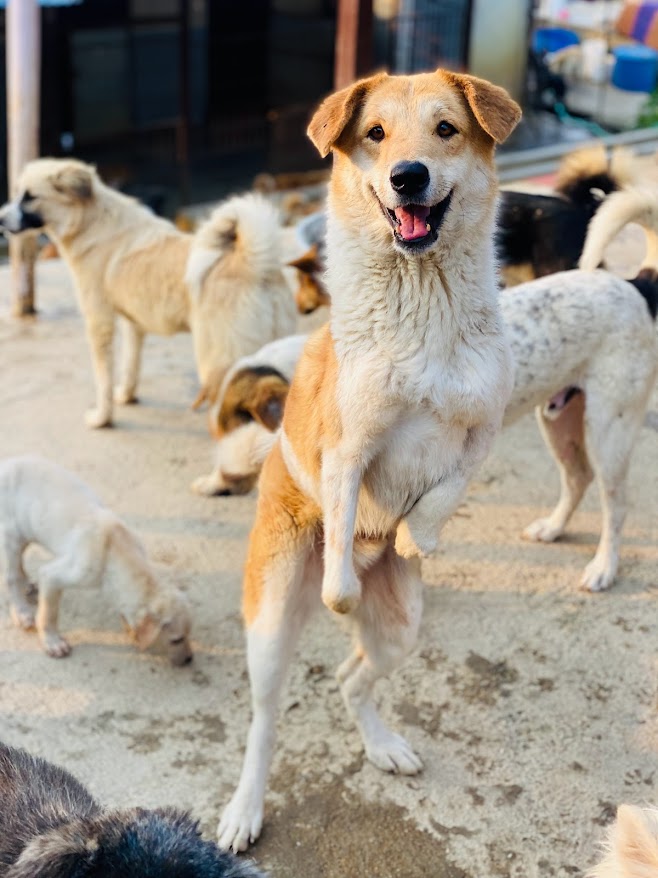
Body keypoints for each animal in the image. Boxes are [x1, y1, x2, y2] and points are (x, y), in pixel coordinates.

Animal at [0, 159, 297, 427]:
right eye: (18, 193)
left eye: (30, 197)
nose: (1, 219)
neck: (91, 221)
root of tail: (256, 263)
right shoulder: (133, 323)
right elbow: (130, 364)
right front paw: (126, 396)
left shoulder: (99, 322)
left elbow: (103, 378)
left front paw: (102, 418)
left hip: (220, 361)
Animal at [0, 454, 192, 662]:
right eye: (176, 640)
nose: (190, 660)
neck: (117, 551)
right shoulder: (53, 575)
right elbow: (49, 614)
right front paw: (52, 642)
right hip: (11, 537)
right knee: (11, 577)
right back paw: (21, 612)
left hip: (26, 533)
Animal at [217, 68, 521, 851]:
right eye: (375, 135)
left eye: (446, 128)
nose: (407, 176)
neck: (424, 306)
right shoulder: (349, 449)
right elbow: (346, 505)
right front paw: (341, 586)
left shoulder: (483, 430)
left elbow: (444, 491)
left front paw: (417, 536)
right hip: (271, 624)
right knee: (264, 721)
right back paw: (244, 810)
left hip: (401, 629)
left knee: (352, 677)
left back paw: (383, 743)